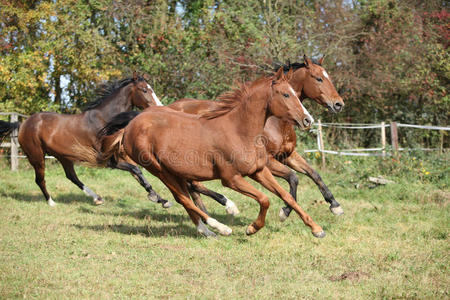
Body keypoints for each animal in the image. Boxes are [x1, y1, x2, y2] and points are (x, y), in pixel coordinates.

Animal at [0, 73, 169, 206]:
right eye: (144, 90)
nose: (160, 107)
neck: (106, 121)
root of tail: (22, 124)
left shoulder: (120, 155)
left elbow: (138, 174)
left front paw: (161, 199)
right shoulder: (107, 160)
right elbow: (136, 169)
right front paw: (156, 197)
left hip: (64, 157)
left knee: (72, 177)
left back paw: (97, 198)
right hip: (37, 157)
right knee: (40, 179)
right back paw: (51, 202)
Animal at [90, 69, 324, 238]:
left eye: (295, 93)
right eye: (285, 94)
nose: (307, 120)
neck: (239, 130)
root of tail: (131, 125)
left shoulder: (259, 171)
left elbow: (287, 195)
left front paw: (316, 228)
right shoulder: (231, 179)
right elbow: (265, 199)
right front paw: (251, 228)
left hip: (174, 170)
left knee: (187, 196)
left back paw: (207, 231)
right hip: (158, 169)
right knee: (183, 198)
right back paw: (219, 227)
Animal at [170, 55, 344, 219]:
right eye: (319, 78)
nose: (338, 104)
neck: (276, 123)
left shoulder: (288, 155)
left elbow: (314, 174)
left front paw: (335, 205)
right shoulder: (268, 161)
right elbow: (293, 177)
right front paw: (285, 211)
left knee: (192, 186)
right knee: (193, 185)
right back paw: (227, 206)